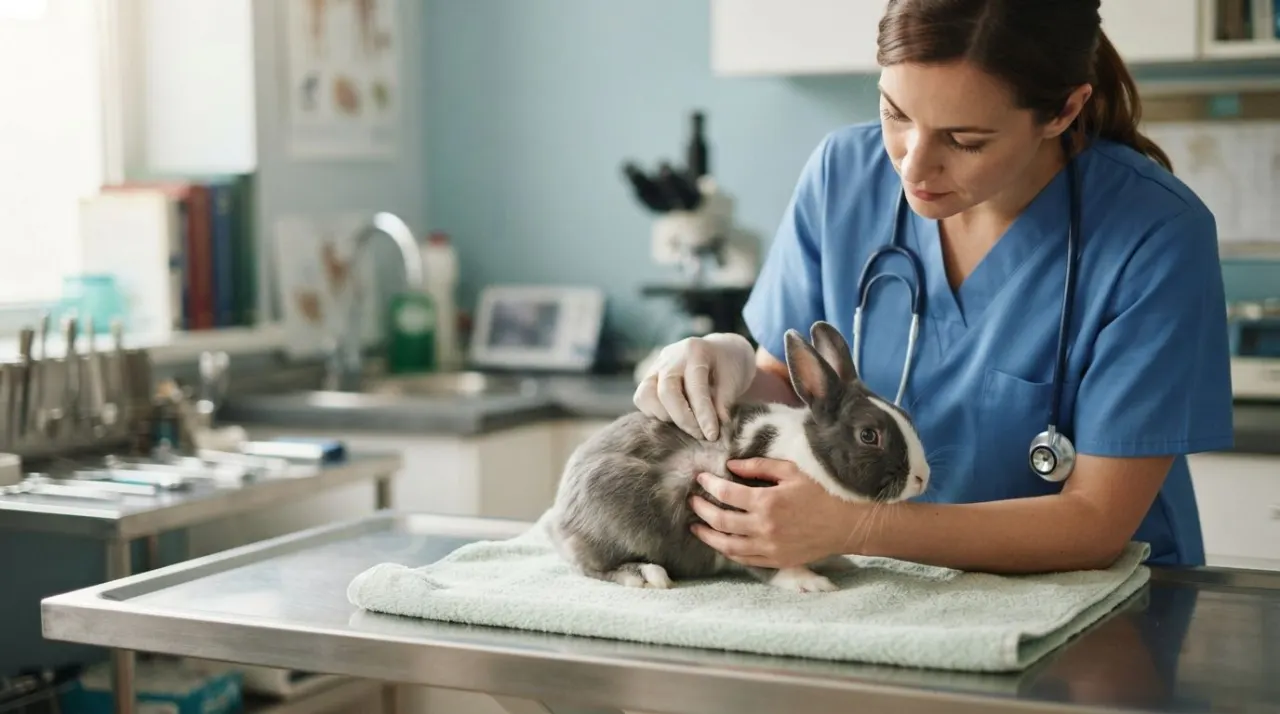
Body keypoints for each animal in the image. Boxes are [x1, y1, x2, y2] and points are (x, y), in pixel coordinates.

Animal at [547, 320, 931, 593]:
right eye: (869, 435)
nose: (922, 477)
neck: (809, 454)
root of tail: (562, 514)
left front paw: (839, 562)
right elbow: (775, 568)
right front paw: (811, 582)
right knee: (591, 567)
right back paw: (645, 575)